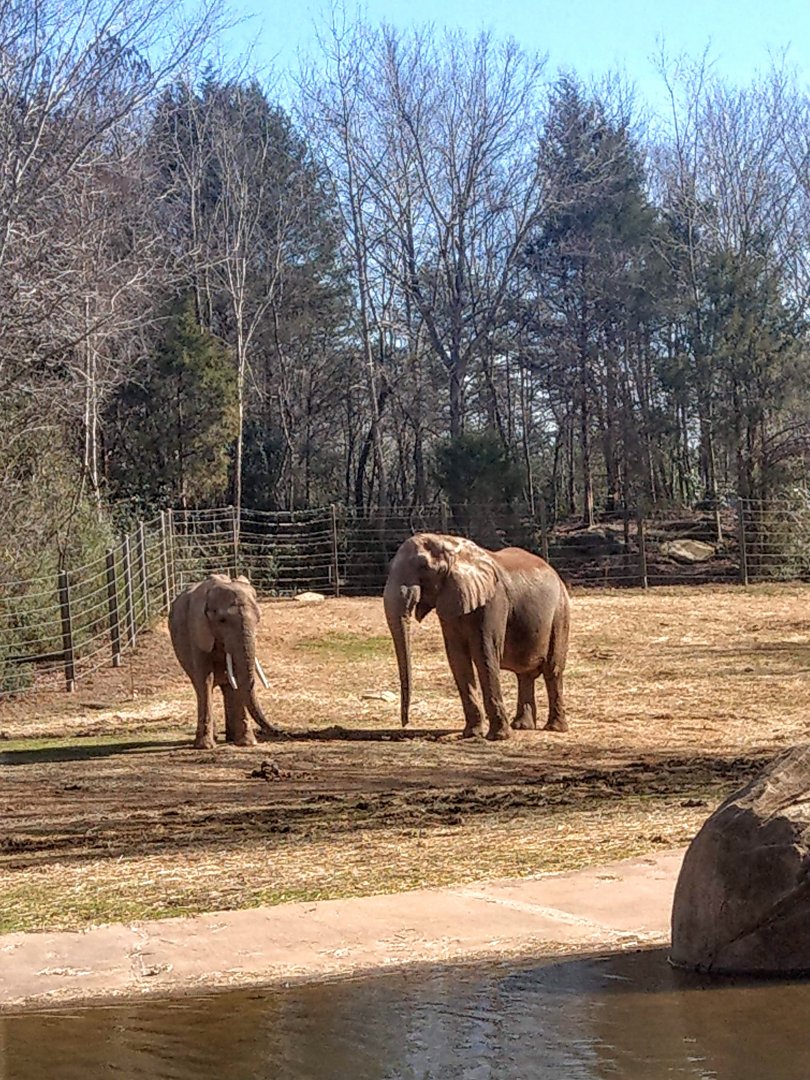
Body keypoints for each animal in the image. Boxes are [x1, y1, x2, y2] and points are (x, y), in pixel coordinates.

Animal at [168, 573, 281, 749]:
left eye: (258, 620)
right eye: (222, 620)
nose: (279, 731)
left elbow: (236, 678)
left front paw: (248, 743)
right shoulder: (197, 632)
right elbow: (205, 679)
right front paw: (205, 746)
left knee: (228, 686)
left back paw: (231, 738)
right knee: (201, 686)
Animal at [384, 533, 570, 741]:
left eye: (423, 565)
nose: (405, 723)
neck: (449, 543)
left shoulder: (493, 601)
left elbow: (485, 654)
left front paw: (498, 737)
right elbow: (457, 657)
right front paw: (471, 734)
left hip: (560, 613)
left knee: (552, 670)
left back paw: (555, 728)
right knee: (525, 675)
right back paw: (522, 726)